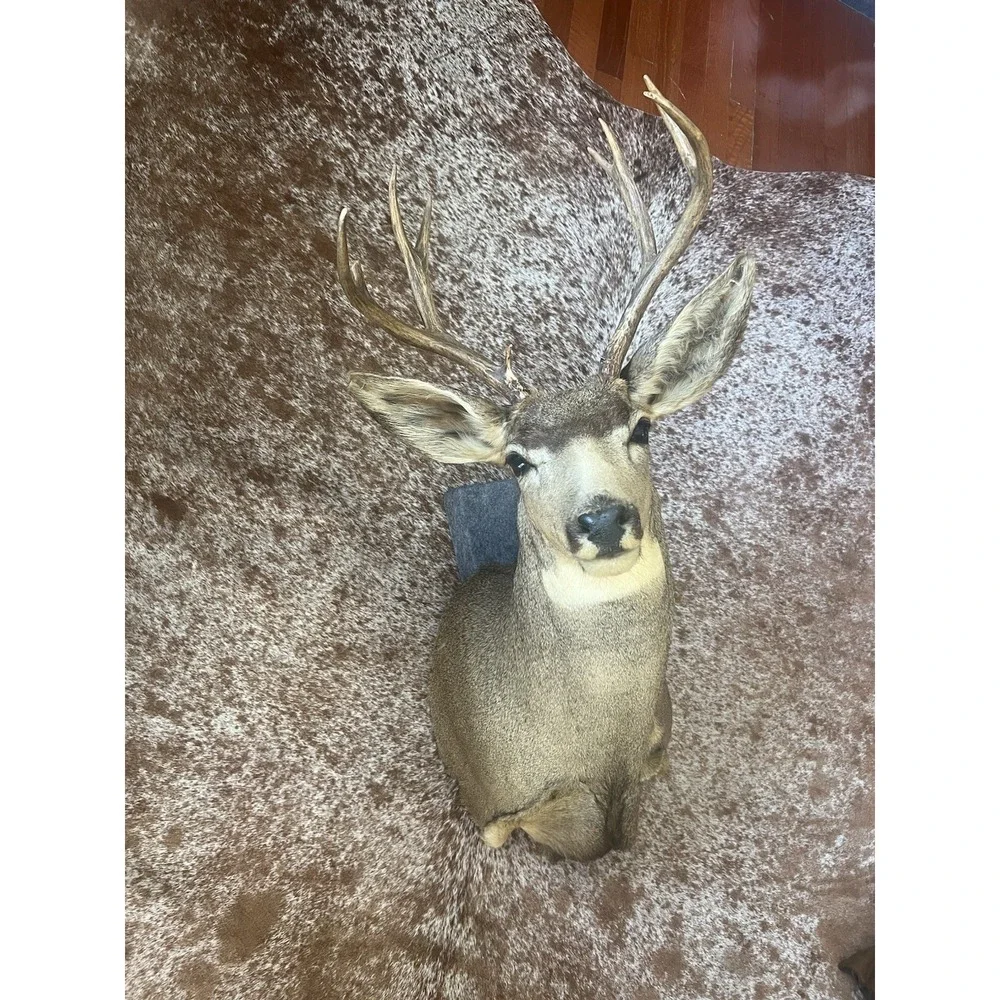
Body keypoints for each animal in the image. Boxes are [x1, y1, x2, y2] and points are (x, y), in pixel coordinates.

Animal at [336, 77, 756, 861]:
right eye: (516, 460)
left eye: (641, 426)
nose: (603, 517)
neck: (597, 756)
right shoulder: (492, 807)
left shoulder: (657, 750)